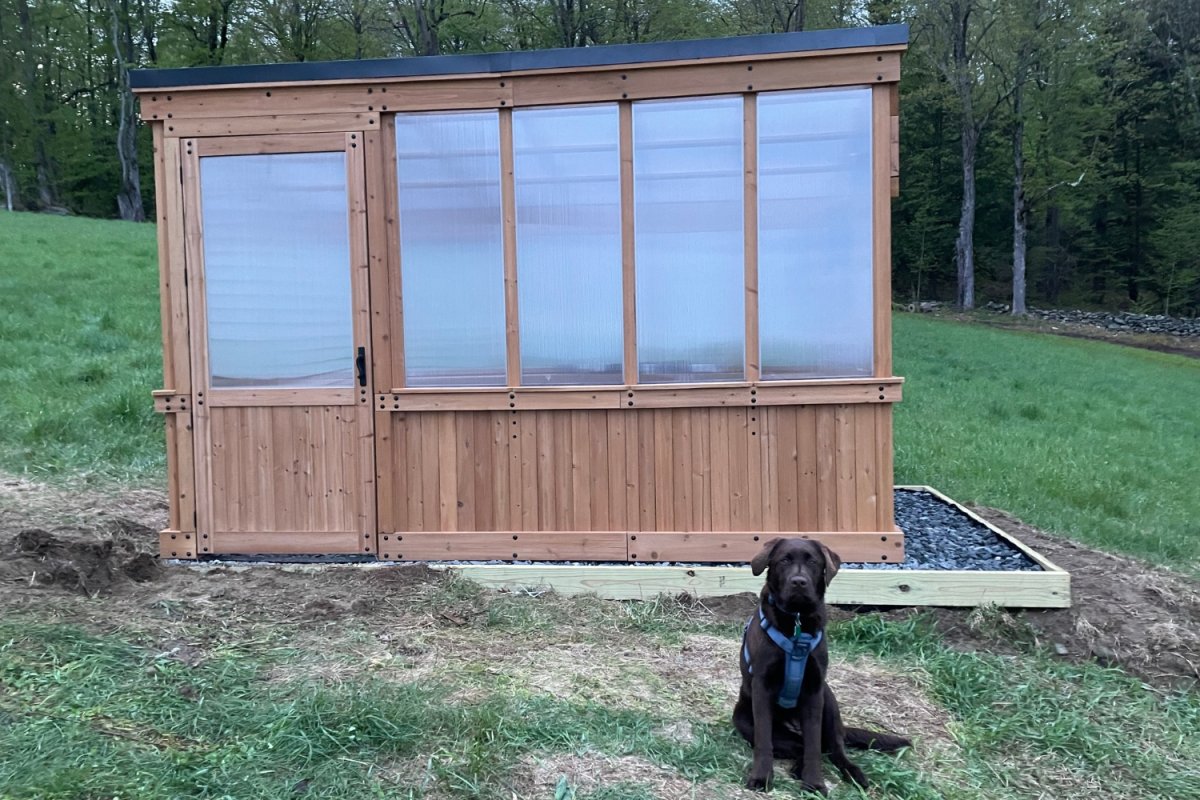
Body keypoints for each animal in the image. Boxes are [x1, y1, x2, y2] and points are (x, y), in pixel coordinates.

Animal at [729, 537, 907, 796]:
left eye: (813, 562)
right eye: (784, 561)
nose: (798, 582)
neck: (796, 622)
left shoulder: (814, 689)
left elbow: (814, 744)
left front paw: (814, 783)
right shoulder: (762, 687)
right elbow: (765, 741)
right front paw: (761, 777)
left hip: (829, 700)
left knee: (832, 748)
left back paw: (853, 773)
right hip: (744, 718)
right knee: (797, 745)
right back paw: (796, 767)